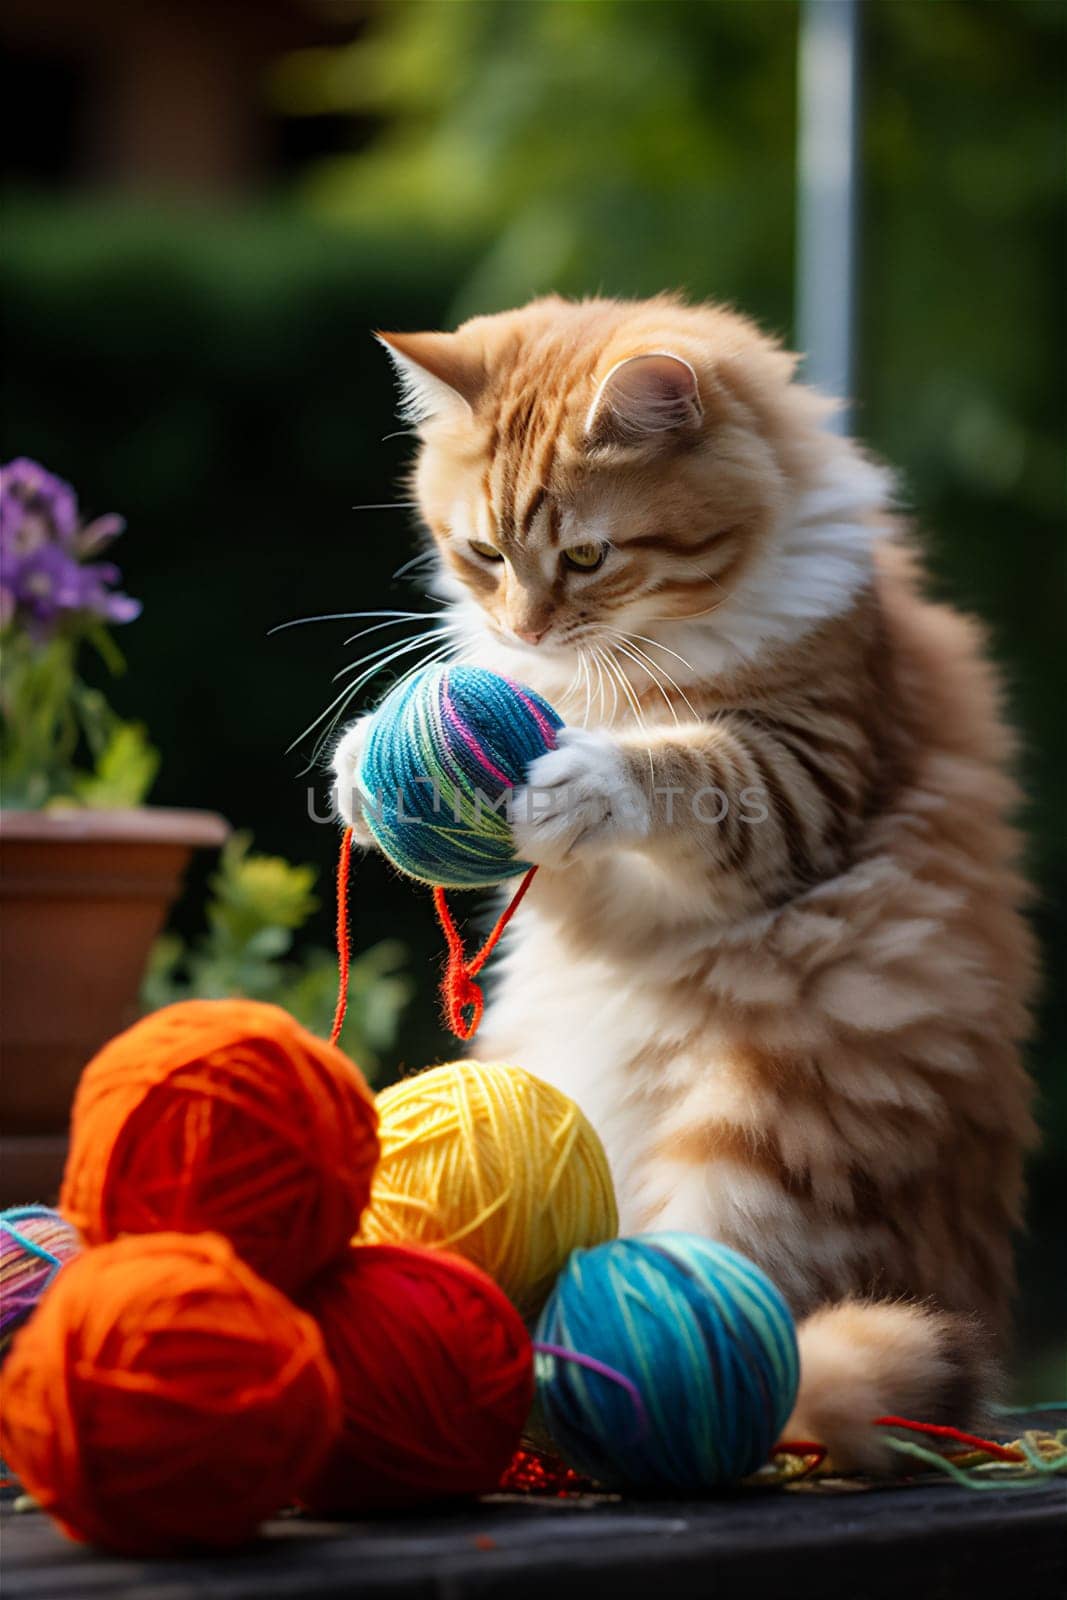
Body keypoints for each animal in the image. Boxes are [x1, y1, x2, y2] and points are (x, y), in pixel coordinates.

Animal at [334, 294, 1036, 1465]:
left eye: (586, 555)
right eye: (482, 553)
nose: (522, 627)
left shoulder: (801, 781)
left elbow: (681, 765)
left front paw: (590, 776)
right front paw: (361, 763)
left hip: (752, 1135)